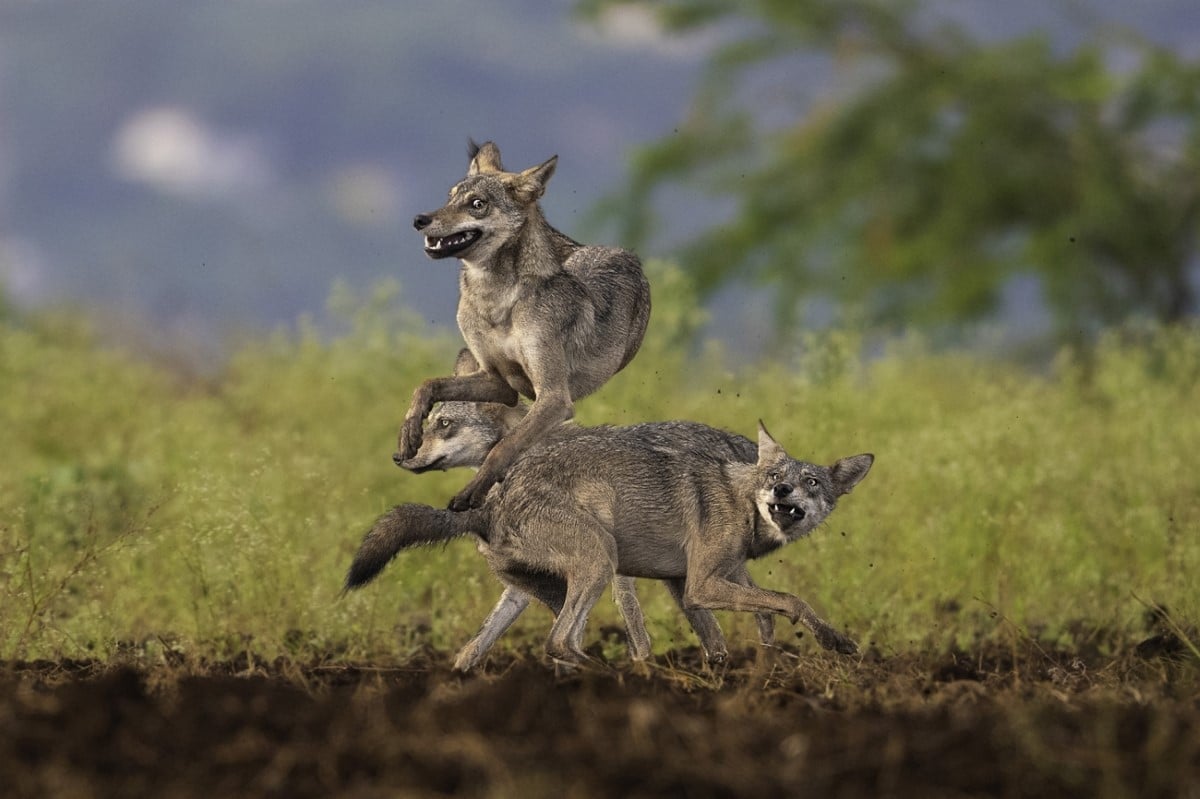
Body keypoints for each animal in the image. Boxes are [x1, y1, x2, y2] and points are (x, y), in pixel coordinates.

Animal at [348, 412, 873, 667]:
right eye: (776, 477)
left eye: (812, 484)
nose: (782, 492)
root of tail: (490, 507)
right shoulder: (699, 584)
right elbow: (789, 600)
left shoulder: (686, 586)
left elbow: (730, 636)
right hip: (600, 561)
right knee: (559, 642)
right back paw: (619, 676)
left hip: (565, 582)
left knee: (533, 643)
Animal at [398, 139, 652, 506]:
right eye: (450, 197)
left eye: (477, 204)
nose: (420, 219)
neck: (496, 304)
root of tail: (612, 249)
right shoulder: (496, 380)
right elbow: (428, 384)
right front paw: (410, 431)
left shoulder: (553, 398)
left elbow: (505, 445)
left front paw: (474, 490)